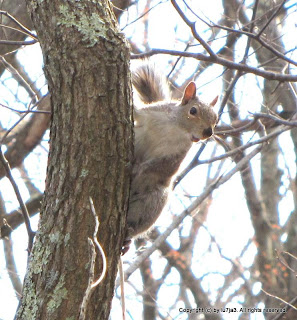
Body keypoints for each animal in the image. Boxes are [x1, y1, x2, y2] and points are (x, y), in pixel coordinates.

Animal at [121, 61, 217, 254]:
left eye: (216, 119)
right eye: (193, 110)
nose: (208, 132)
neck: (177, 128)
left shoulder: (175, 155)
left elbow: (162, 166)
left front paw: (138, 169)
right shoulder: (150, 113)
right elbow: (136, 112)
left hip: (154, 201)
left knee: (138, 222)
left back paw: (129, 235)